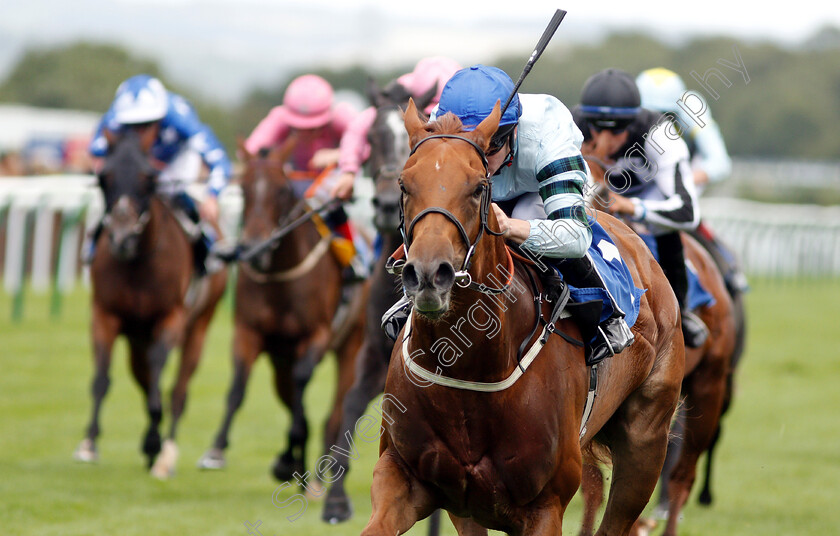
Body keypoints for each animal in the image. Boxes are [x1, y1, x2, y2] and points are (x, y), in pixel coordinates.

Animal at [72, 125, 226, 478]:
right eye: (104, 177)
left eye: (148, 177)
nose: (122, 237)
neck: (138, 262)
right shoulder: (105, 314)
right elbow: (102, 378)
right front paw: (89, 444)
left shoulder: (170, 317)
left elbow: (159, 375)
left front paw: (156, 443)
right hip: (135, 339)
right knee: (143, 379)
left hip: (199, 327)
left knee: (178, 391)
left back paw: (166, 452)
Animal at [200, 137, 368, 482]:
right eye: (243, 190)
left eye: (280, 191)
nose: (253, 250)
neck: (280, 279)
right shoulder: (248, 332)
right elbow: (238, 387)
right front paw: (217, 449)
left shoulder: (317, 335)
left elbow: (303, 384)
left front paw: (292, 454)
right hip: (280, 361)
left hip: (351, 344)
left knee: (334, 412)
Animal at [360, 99, 684, 532]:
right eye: (404, 185)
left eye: (478, 187)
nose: (428, 274)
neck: (471, 368)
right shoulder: (408, 478)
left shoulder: (545, 505)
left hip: (645, 442)